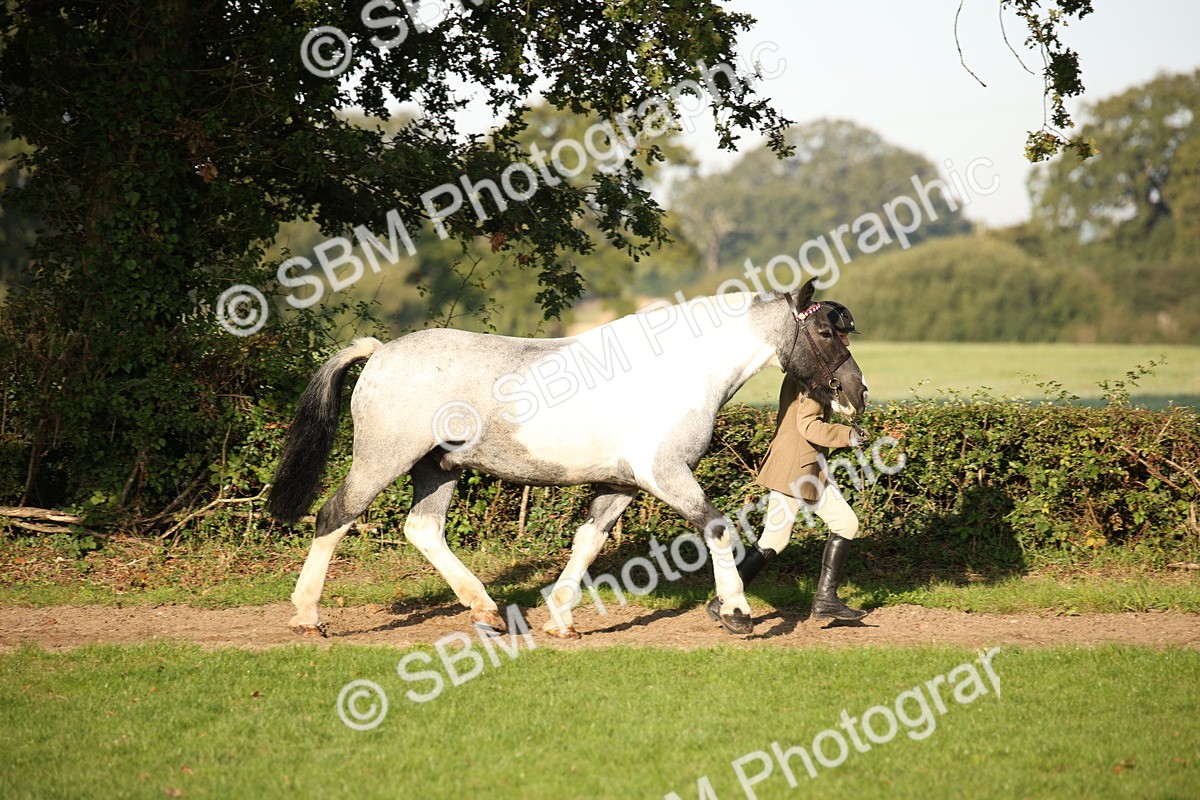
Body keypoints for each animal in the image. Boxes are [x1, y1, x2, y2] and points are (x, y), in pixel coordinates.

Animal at [267, 278, 867, 638]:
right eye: (823, 330)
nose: (856, 394)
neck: (681, 371)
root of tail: (381, 352)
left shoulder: (622, 485)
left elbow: (587, 542)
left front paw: (560, 620)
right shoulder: (666, 475)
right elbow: (717, 529)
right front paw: (738, 614)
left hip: (436, 468)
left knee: (423, 529)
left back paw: (487, 611)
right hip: (383, 460)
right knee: (334, 516)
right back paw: (307, 617)